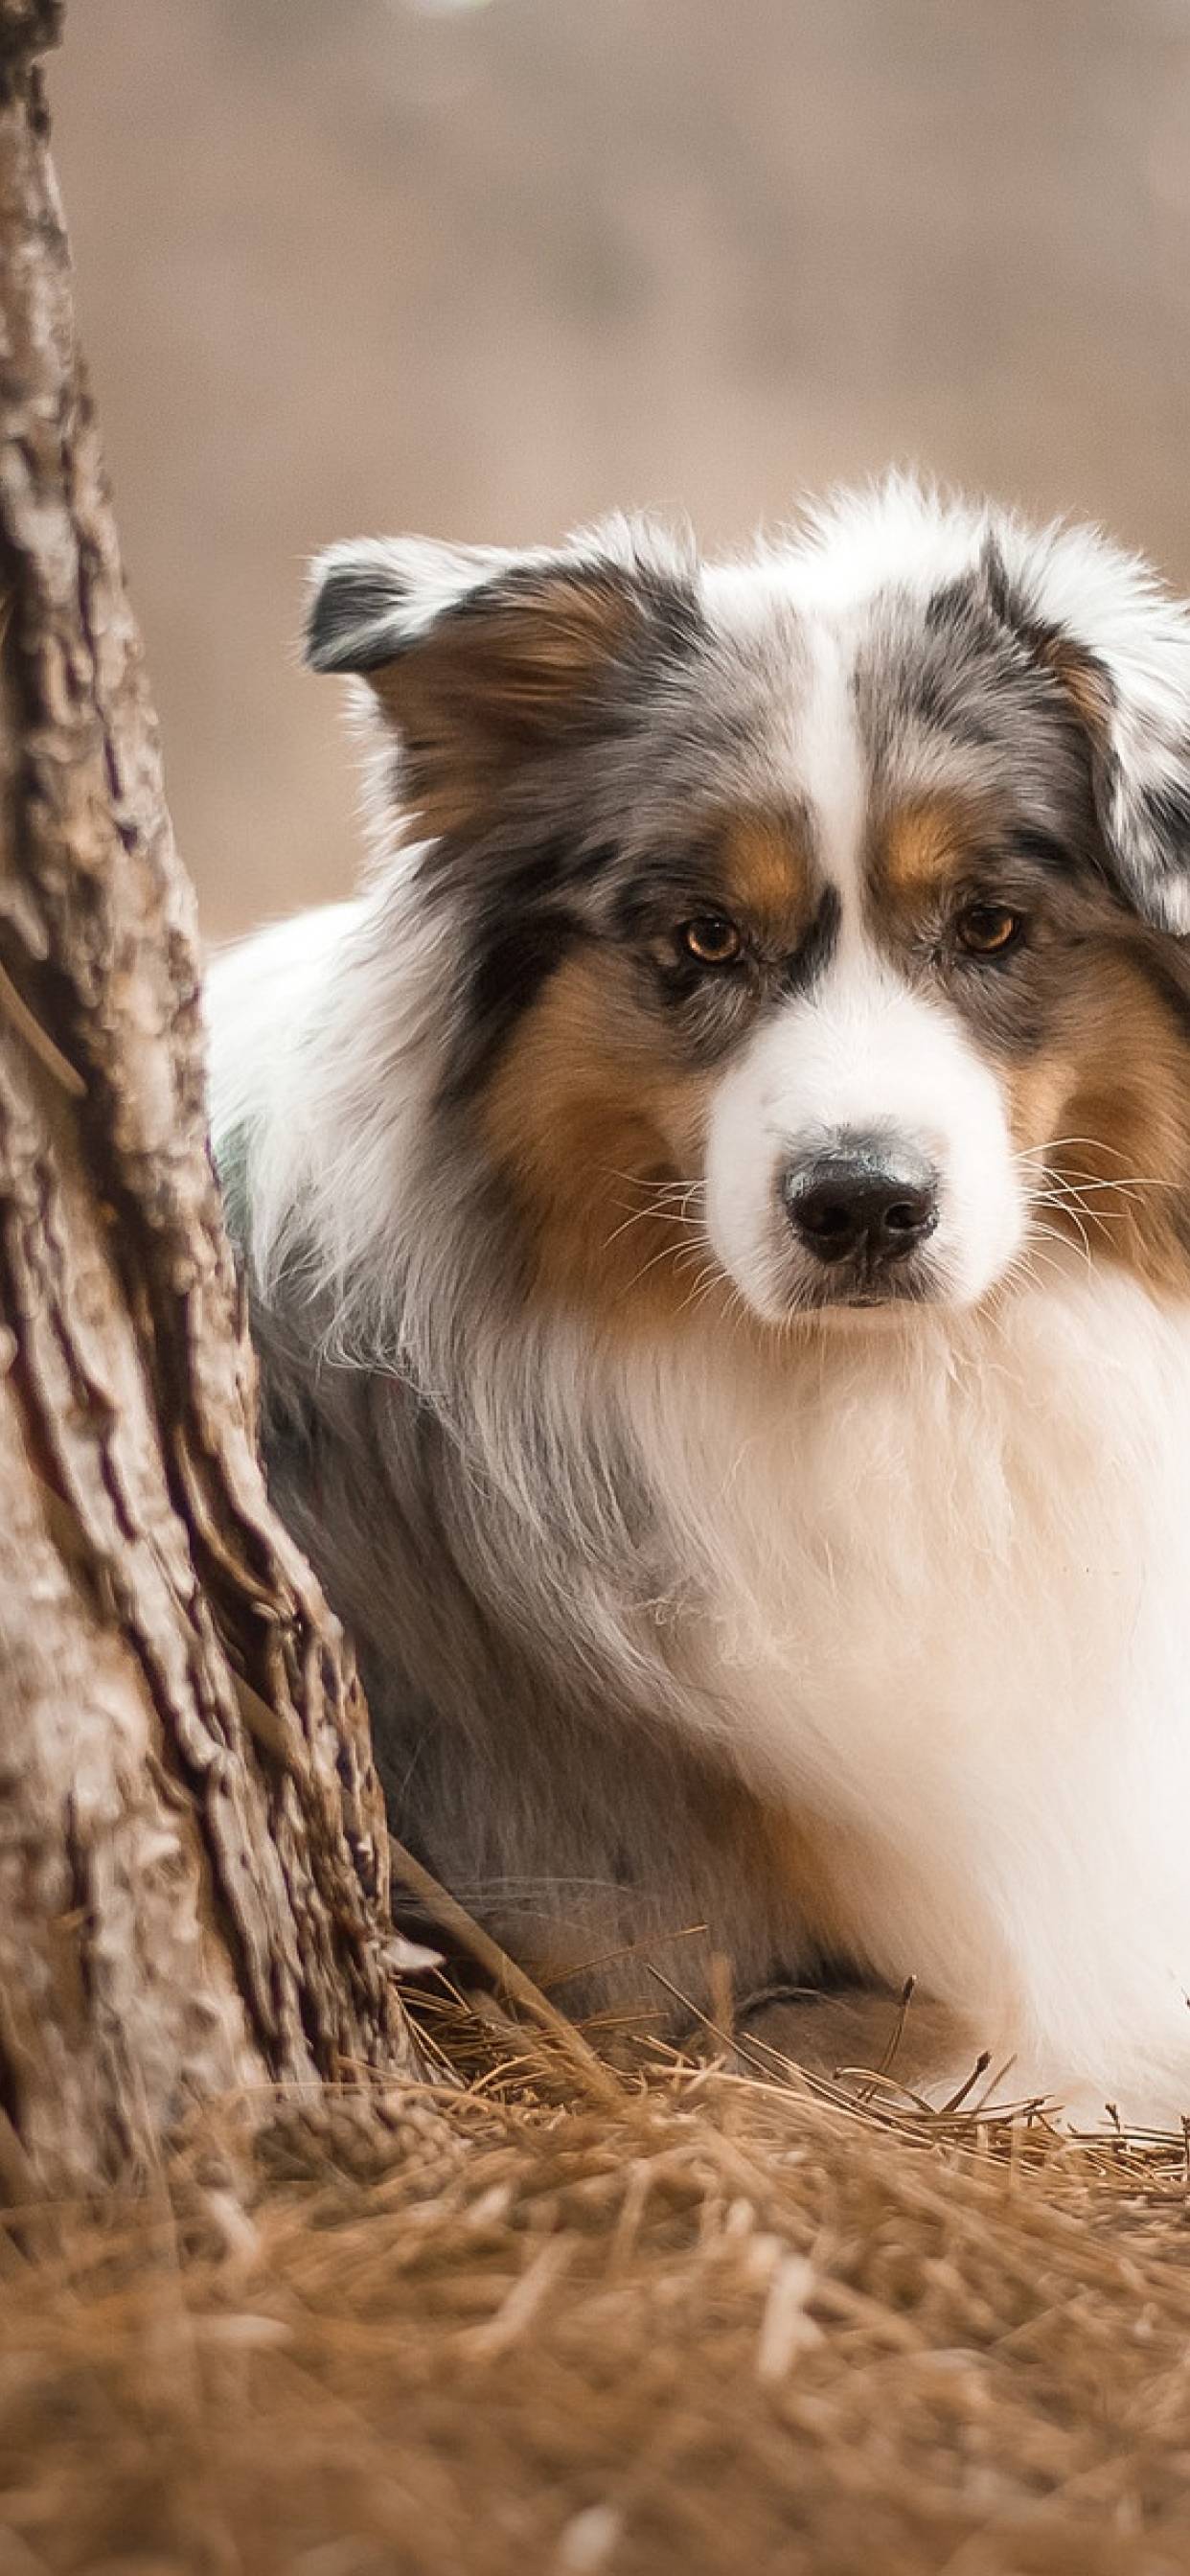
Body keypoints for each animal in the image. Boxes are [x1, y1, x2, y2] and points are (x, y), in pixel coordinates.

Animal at [207, 484, 1190, 2132]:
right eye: (706, 938)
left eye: (989, 926)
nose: (860, 1206)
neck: (888, 1390)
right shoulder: (621, 1969)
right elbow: (991, 2018)